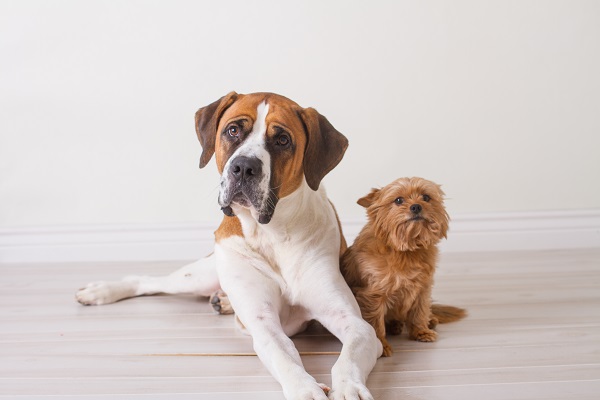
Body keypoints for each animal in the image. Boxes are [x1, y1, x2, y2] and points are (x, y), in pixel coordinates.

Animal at [77, 92, 382, 400]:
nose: (244, 166)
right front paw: (305, 390)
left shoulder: (355, 324)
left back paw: (221, 301)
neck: (272, 233)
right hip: (199, 275)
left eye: (282, 139)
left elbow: (348, 356)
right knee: (148, 280)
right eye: (233, 130)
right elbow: (284, 356)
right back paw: (102, 290)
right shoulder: (264, 325)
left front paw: (349, 388)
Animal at [342, 178, 464, 356]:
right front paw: (381, 345)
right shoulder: (373, 296)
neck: (406, 250)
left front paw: (420, 331)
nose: (416, 206)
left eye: (426, 197)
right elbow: (375, 322)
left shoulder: (422, 289)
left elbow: (419, 312)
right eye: (398, 200)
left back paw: (429, 320)